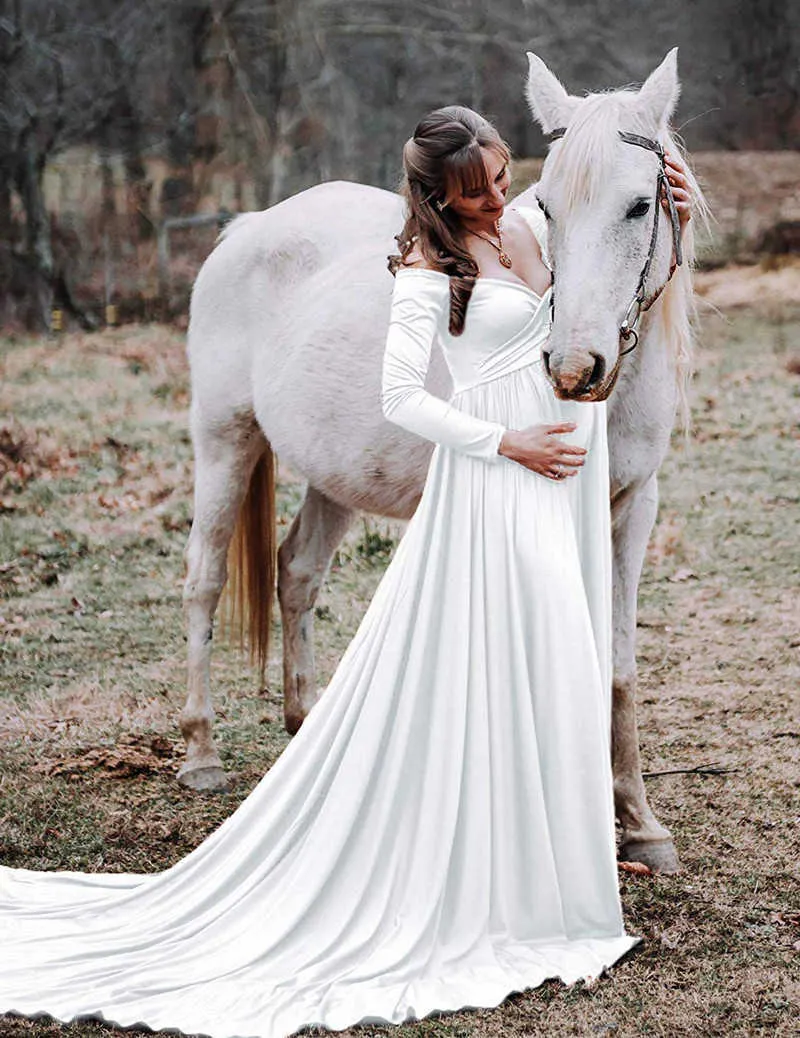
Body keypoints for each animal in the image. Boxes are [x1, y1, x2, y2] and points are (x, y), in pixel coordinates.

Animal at [179, 52, 701, 871]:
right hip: (224, 440)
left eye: (641, 205)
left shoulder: (633, 510)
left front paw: (639, 825)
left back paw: (305, 730)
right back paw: (201, 753)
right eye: (546, 207)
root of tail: (248, 228)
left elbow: (616, 665)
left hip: (333, 475)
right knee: (204, 580)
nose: (573, 367)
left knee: (297, 574)